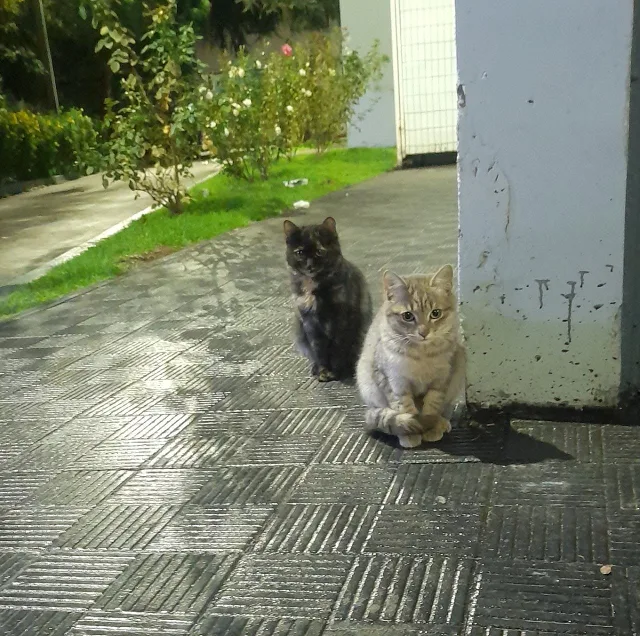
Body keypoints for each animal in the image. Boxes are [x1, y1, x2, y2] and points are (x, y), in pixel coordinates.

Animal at [284, 216, 372, 380]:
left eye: (319, 251)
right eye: (300, 252)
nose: (310, 265)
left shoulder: (343, 317)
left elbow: (339, 346)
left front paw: (336, 371)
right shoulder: (309, 320)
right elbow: (318, 348)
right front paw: (323, 371)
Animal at [356, 264, 464, 448]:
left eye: (435, 313)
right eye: (408, 316)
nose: (423, 333)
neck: (422, 355)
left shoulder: (442, 379)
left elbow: (432, 405)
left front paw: (431, 427)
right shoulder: (393, 381)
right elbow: (404, 408)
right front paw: (411, 432)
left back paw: (442, 422)